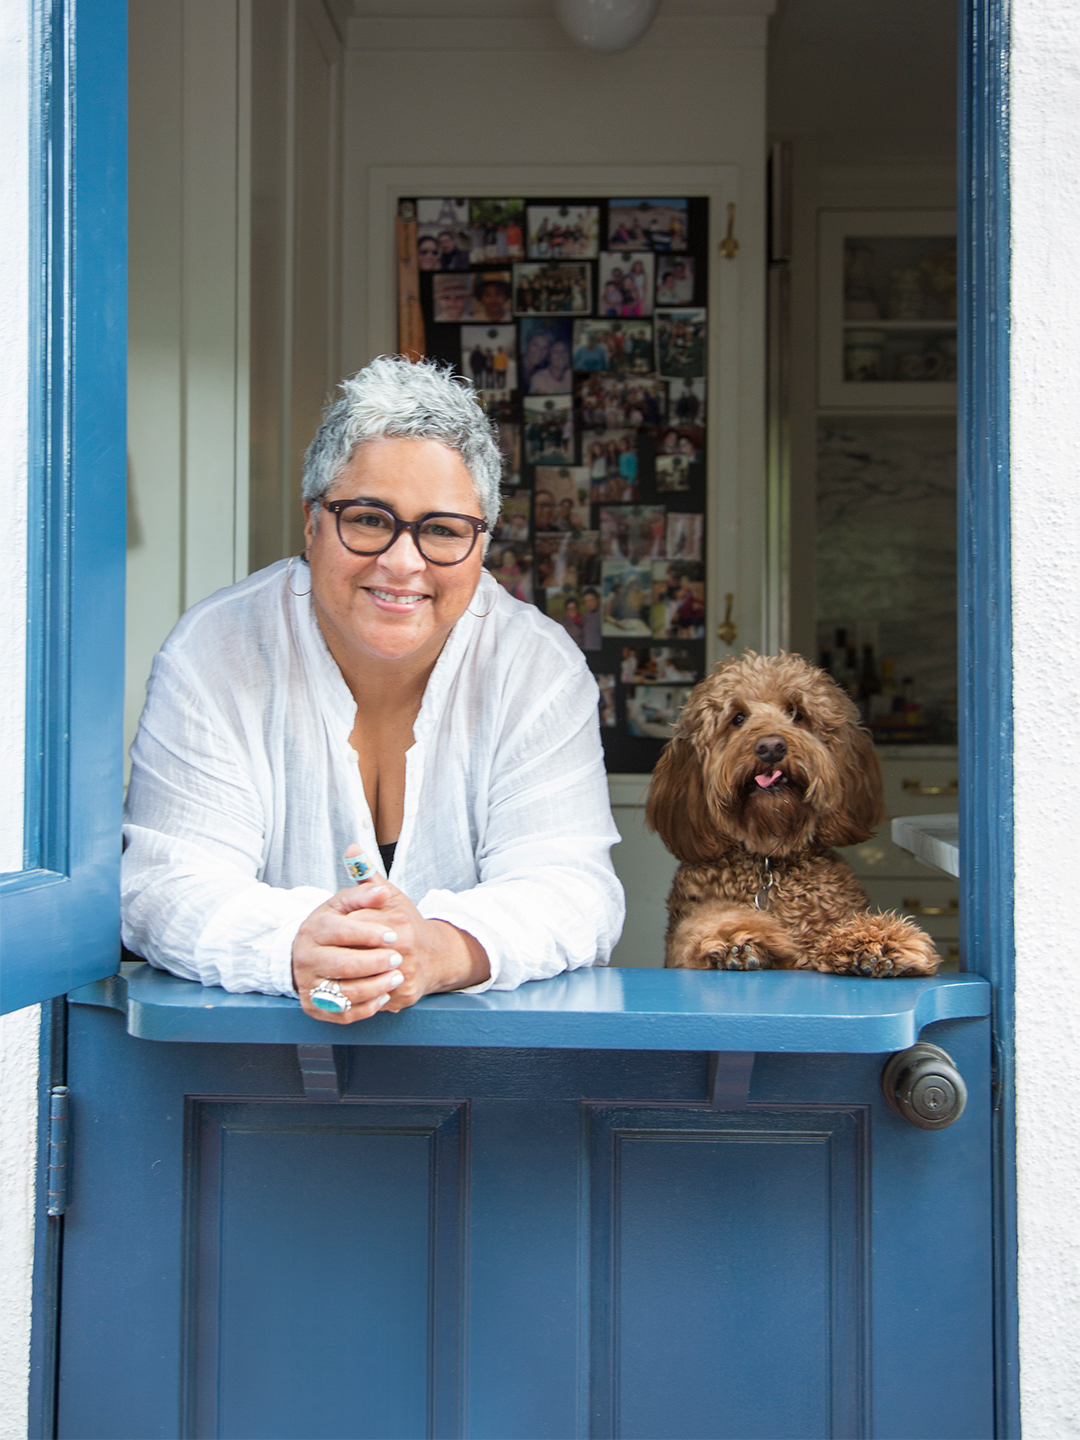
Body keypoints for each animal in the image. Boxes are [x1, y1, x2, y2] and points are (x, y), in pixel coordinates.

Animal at [648, 653, 944, 979]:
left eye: (796, 713)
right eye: (737, 718)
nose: (771, 747)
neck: (770, 860)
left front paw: (876, 940)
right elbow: (711, 922)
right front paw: (736, 940)